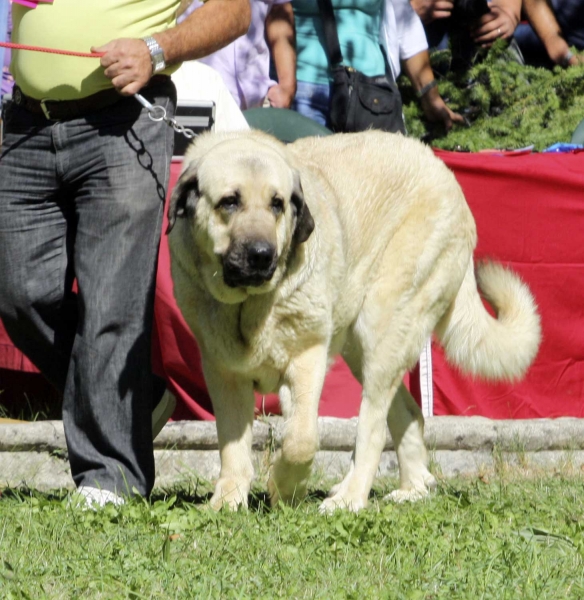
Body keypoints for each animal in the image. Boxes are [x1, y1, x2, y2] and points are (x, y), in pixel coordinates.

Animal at [167, 130, 540, 510]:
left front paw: (284, 487)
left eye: (277, 204)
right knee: (408, 412)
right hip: (360, 348)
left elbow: (301, 439)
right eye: (229, 202)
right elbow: (233, 446)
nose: (262, 255)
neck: (250, 305)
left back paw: (349, 497)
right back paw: (412, 489)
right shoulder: (224, 372)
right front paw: (227, 501)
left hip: (383, 327)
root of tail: (439, 167)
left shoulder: (308, 358)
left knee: (372, 426)